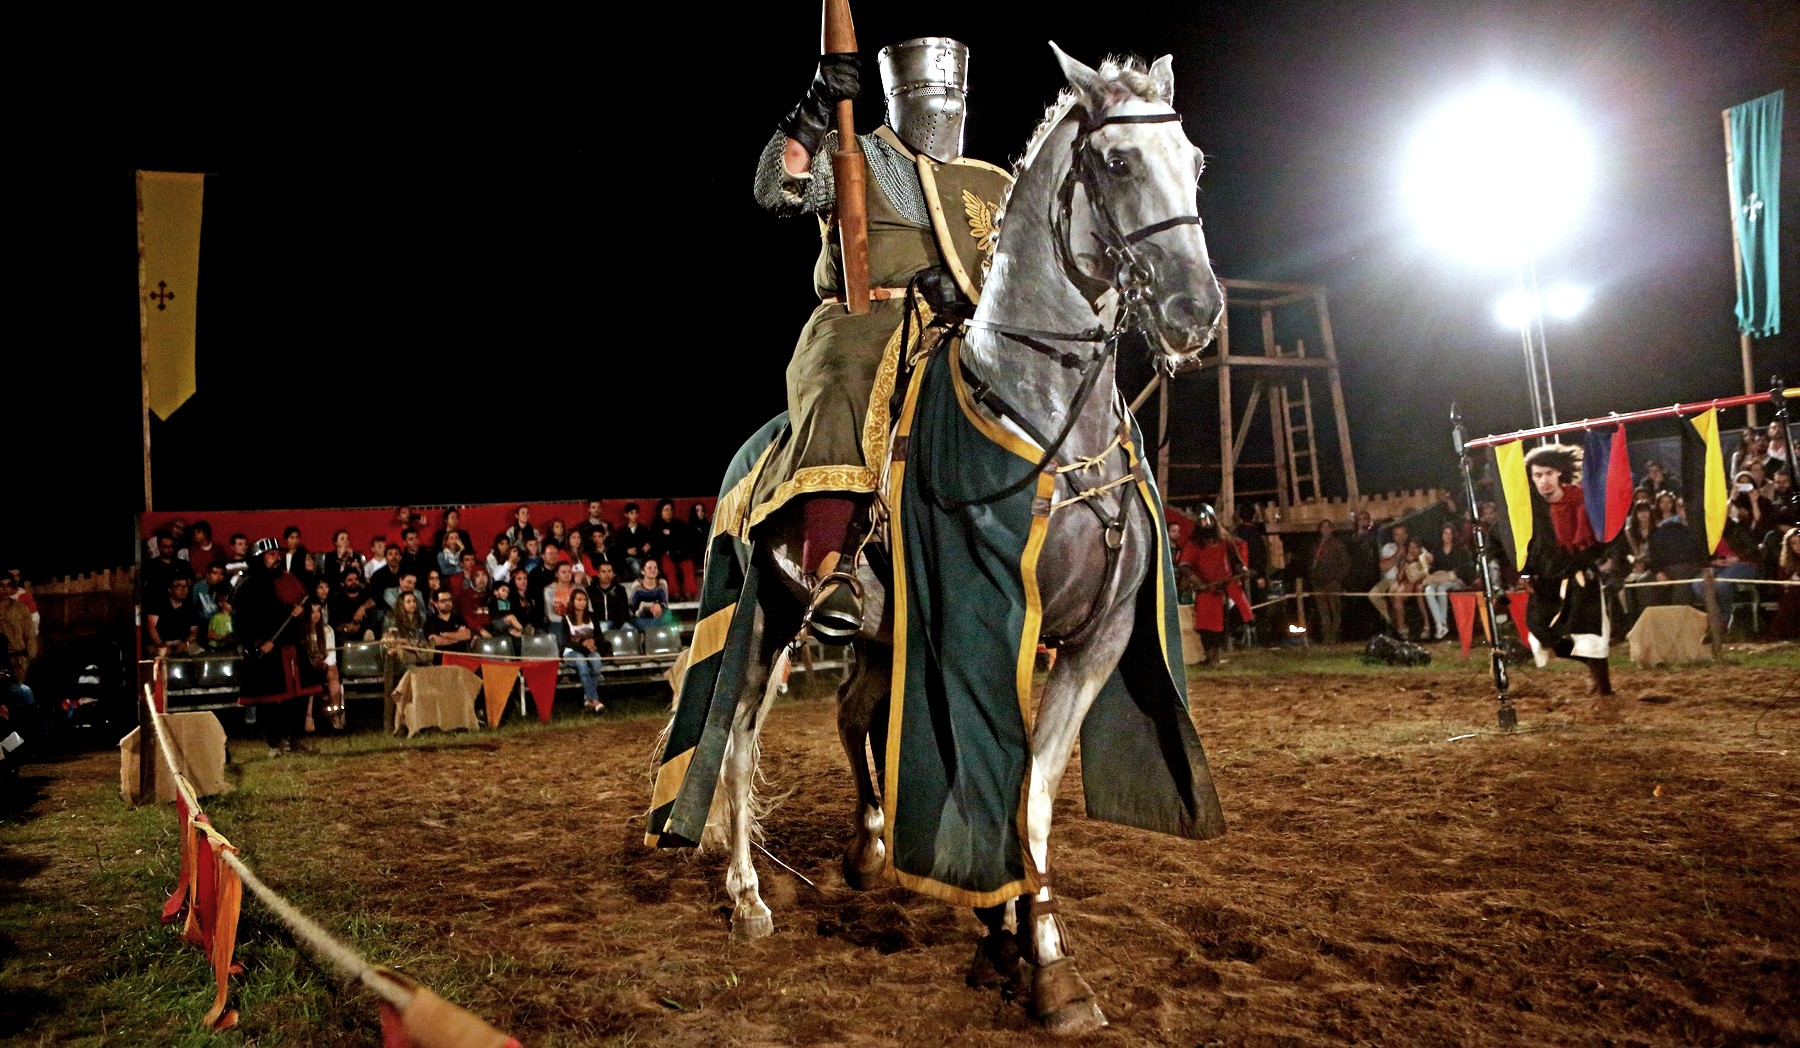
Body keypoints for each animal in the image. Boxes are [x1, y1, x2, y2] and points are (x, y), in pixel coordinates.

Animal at [649, 43, 1227, 1034]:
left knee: (850, 714)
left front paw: (1023, 942)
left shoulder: (1091, 643)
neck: (1043, 417)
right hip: (764, 614)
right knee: (735, 741)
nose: (1195, 311)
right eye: (1116, 163)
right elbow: (1002, 781)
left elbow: (1032, 796)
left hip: (882, 632)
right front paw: (1037, 959)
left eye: (1190, 163)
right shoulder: (980, 622)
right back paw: (749, 897)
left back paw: (869, 850)